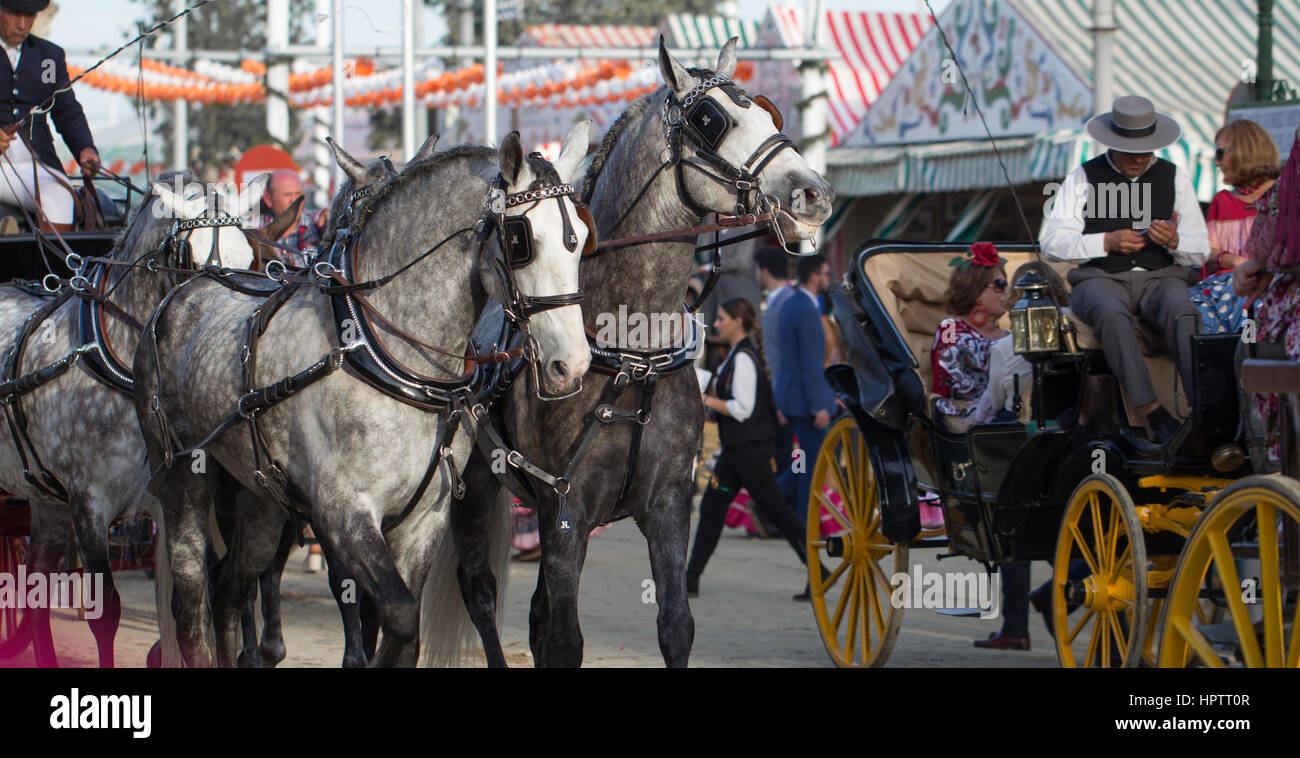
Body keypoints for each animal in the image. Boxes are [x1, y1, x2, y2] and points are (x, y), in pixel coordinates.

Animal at [0, 175, 278, 665]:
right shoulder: (89, 500)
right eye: (185, 258)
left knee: (36, 585)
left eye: (251, 257)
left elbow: (183, 605)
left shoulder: (168, 493)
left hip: (46, 499)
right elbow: (105, 612)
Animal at [134, 127, 592, 665]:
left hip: (259, 500)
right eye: (522, 240)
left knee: (229, 588)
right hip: (182, 475)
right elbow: (396, 615)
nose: (572, 364)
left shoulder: (422, 521)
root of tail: (185, 289)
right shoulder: (344, 513)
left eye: (581, 241)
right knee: (191, 601)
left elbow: (403, 636)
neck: (385, 352)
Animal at [447, 38, 832, 665]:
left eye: (768, 114)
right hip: (473, 485)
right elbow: (564, 640)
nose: (814, 194)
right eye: (711, 121)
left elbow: (675, 626)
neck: (631, 356)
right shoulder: (567, 511)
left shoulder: (669, 504)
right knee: (479, 592)